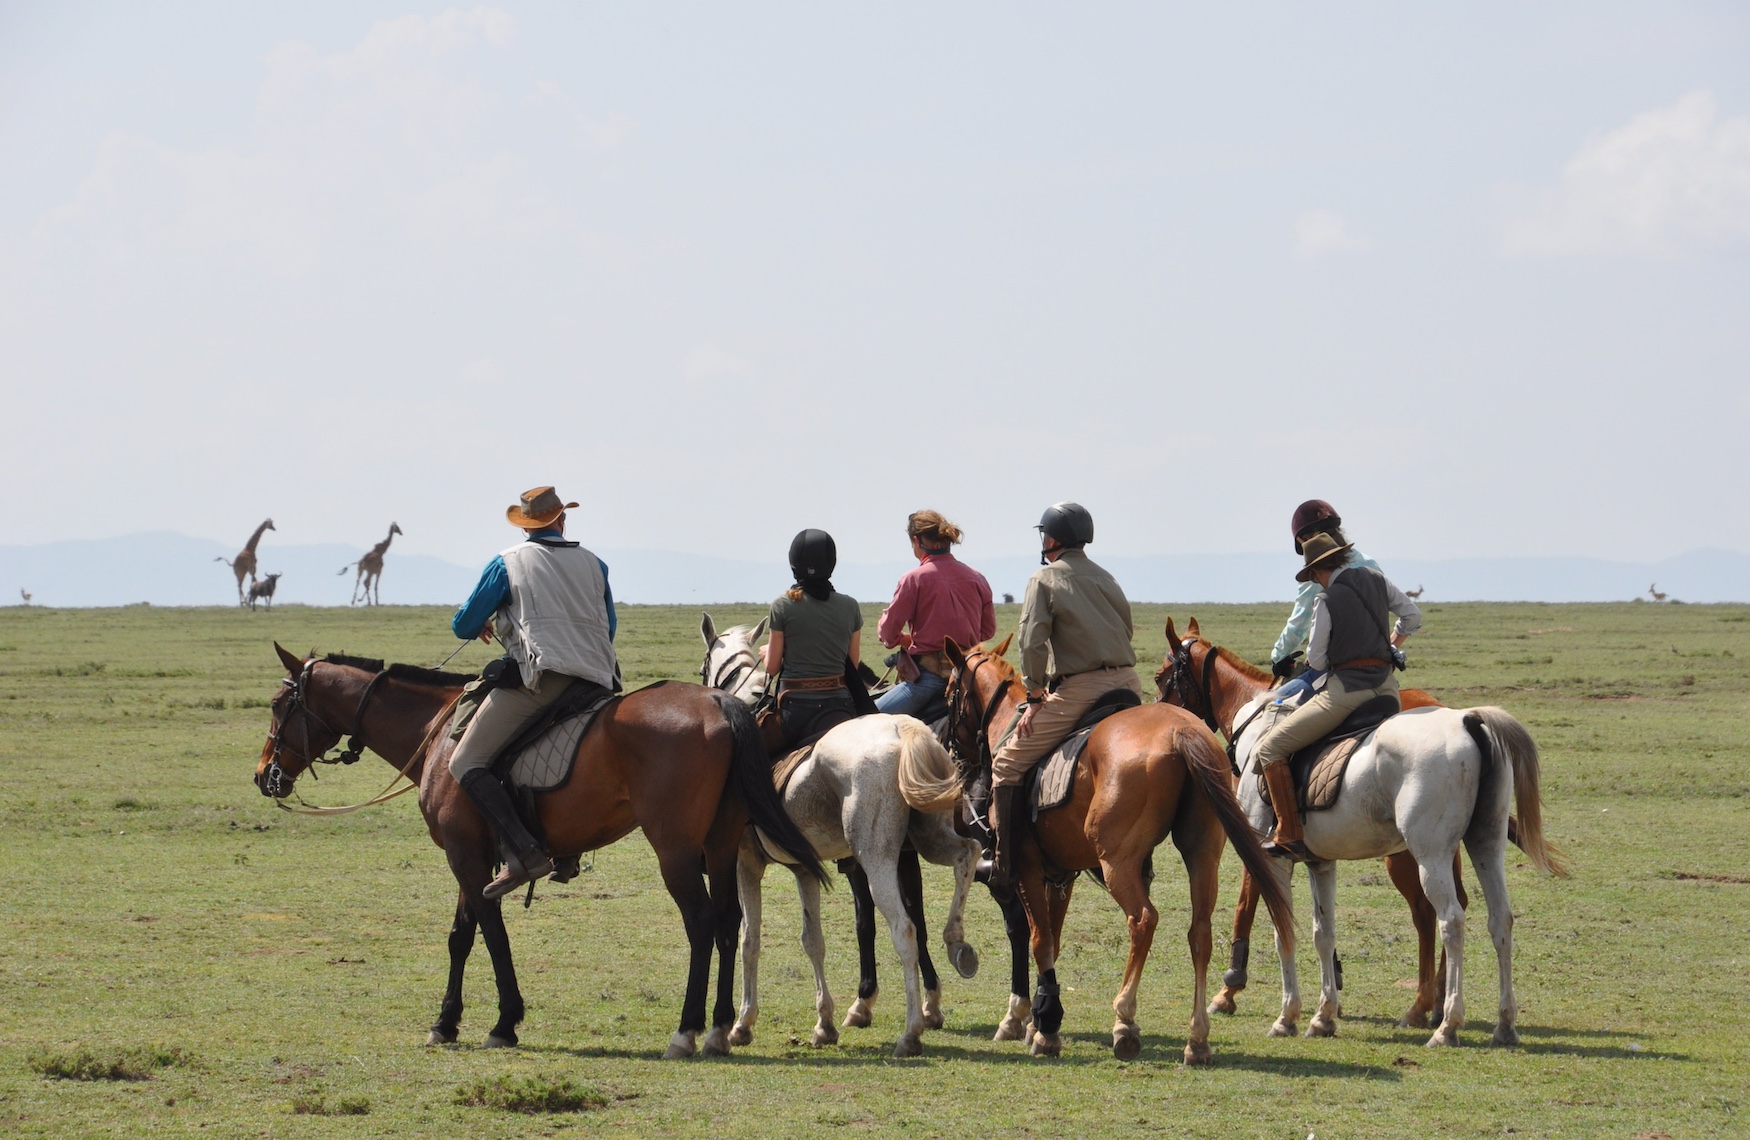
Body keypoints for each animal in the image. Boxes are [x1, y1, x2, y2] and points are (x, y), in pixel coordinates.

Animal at [253, 640, 826, 1064]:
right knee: (729, 922)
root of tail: (716, 702)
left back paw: (686, 1031)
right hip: (720, 843)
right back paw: (721, 1029)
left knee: (702, 923)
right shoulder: (476, 859)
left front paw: (504, 1022)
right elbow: (461, 937)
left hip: (677, 851)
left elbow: (492, 935)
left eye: (280, 706)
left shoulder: (464, 855)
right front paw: (446, 1022)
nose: (264, 775)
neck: (440, 732)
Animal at [700, 616, 1036, 1043]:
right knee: (967, 860)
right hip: (933, 841)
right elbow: (814, 939)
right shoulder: (810, 867)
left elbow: (754, 938)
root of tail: (903, 732)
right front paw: (827, 1021)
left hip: (877, 857)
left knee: (913, 927)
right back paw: (963, 950)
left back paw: (924, 1030)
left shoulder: (749, 860)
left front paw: (744, 1023)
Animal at [945, 637, 1302, 1064]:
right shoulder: (1060, 877)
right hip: (1201, 856)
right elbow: (1053, 941)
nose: (954, 753)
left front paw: (1038, 1027)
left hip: (1117, 865)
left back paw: (1125, 1020)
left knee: (1143, 920)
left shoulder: (1027, 871)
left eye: (949, 691)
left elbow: (1038, 939)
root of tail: (1180, 730)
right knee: (1199, 931)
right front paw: (1039, 1020)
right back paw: (1197, 1037)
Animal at [1155, 619, 1568, 1050]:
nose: (1161, 718)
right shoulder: (1319, 862)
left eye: (1161, 676)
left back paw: (1444, 1022)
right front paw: (1323, 1015)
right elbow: (1322, 932)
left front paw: (1278, 1012)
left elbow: (1276, 926)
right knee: (1498, 919)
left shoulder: (1269, 855)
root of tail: (1466, 720)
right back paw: (1498, 1023)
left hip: (1426, 855)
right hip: (1484, 845)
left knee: (1448, 920)